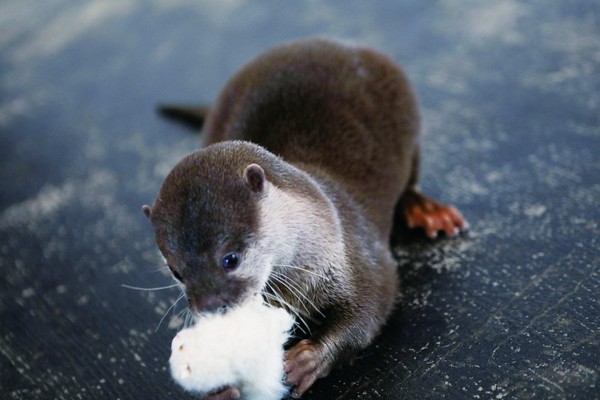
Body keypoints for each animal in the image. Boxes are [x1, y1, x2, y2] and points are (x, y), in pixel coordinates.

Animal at [143, 38, 466, 400]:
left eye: (230, 259)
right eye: (176, 271)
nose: (211, 307)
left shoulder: (360, 255)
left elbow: (371, 308)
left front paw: (308, 358)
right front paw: (221, 387)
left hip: (409, 124)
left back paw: (426, 210)